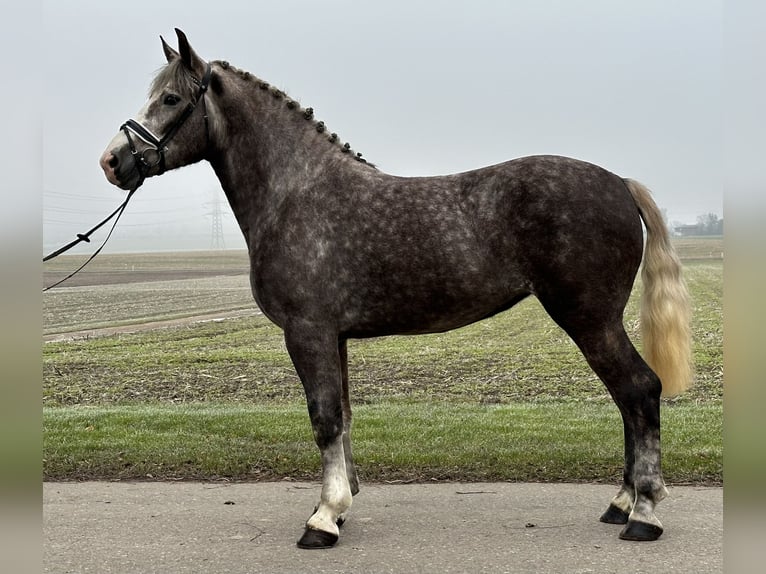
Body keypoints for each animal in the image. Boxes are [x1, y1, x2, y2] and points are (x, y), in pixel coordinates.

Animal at [99, 29, 692, 552]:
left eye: (171, 98)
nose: (112, 161)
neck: (296, 193)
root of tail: (619, 184)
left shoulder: (307, 332)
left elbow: (324, 418)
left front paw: (323, 520)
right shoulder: (333, 336)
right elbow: (342, 416)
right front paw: (340, 506)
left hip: (590, 319)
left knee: (639, 390)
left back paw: (643, 515)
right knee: (628, 399)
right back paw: (620, 503)